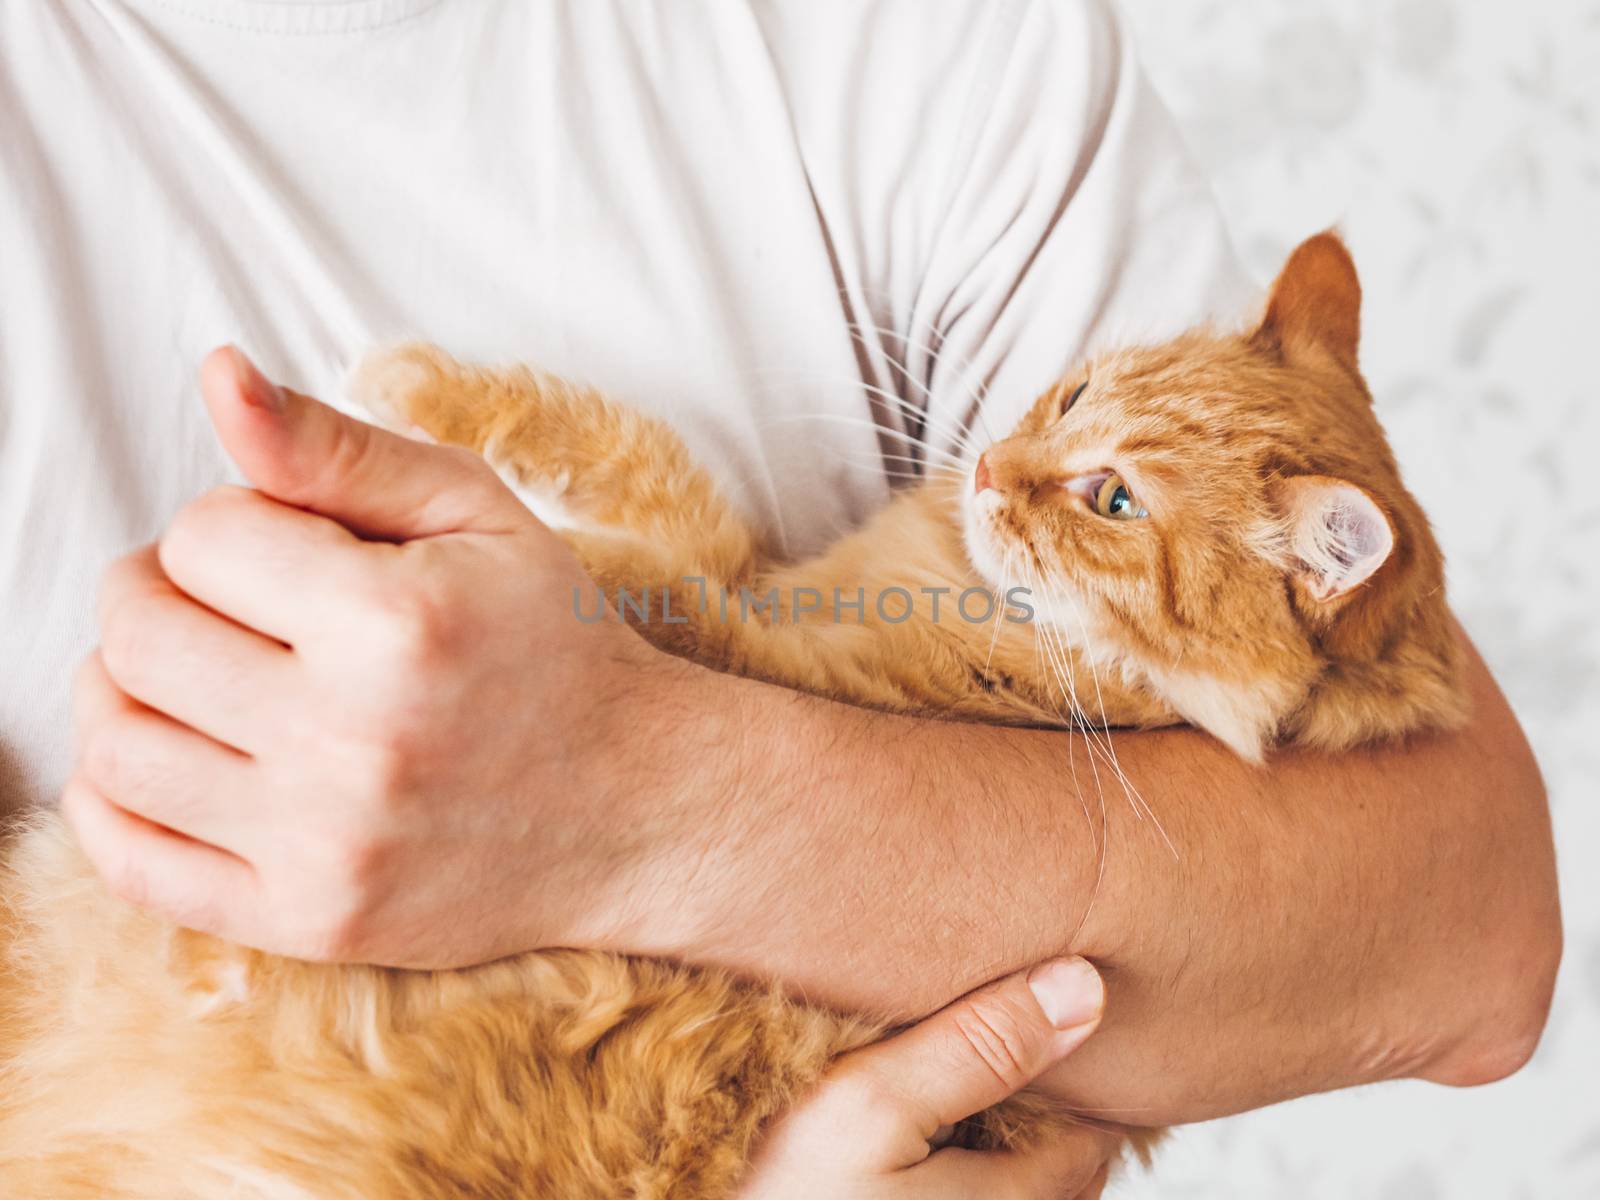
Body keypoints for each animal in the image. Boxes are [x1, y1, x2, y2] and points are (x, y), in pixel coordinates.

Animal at [0, 230, 1465, 1196]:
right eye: (1067, 398)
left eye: (1112, 498)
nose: (993, 466)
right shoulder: (759, 574)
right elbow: (656, 466)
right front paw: (428, 394)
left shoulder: (758, 644)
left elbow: (647, 551)